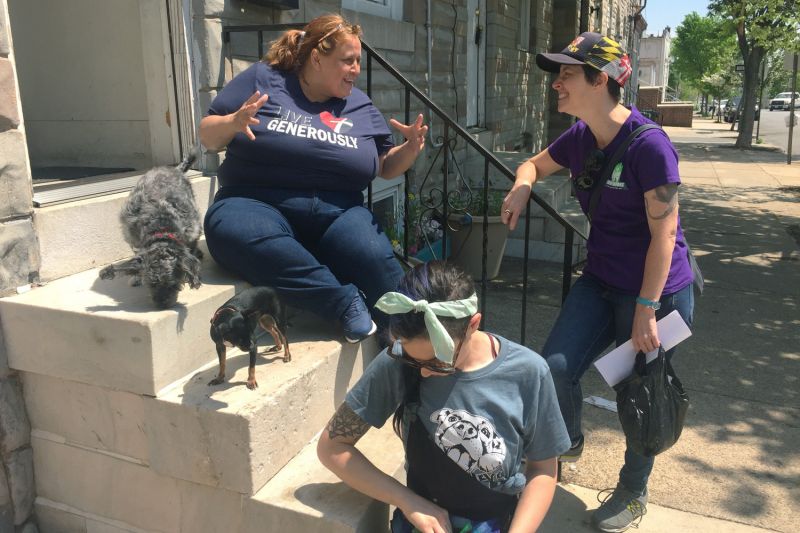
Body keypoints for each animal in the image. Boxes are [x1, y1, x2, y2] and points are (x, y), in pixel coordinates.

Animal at [99, 150, 203, 308]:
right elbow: (137, 258)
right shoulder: (133, 237)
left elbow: (190, 250)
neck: (161, 225)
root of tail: (173, 168)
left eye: (173, 285)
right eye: (151, 285)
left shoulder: (192, 230)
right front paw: (136, 276)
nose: (162, 305)